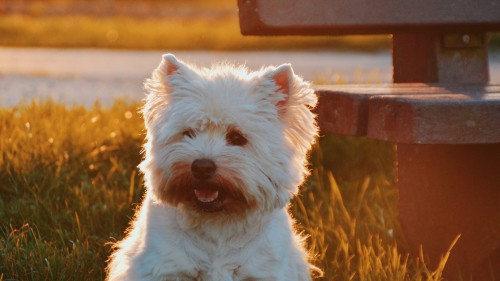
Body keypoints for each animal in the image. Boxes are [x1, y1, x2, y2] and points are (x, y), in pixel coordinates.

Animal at [106, 53, 320, 278]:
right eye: (188, 133)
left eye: (237, 137)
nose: (201, 167)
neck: (217, 224)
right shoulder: (165, 267)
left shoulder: (264, 270)